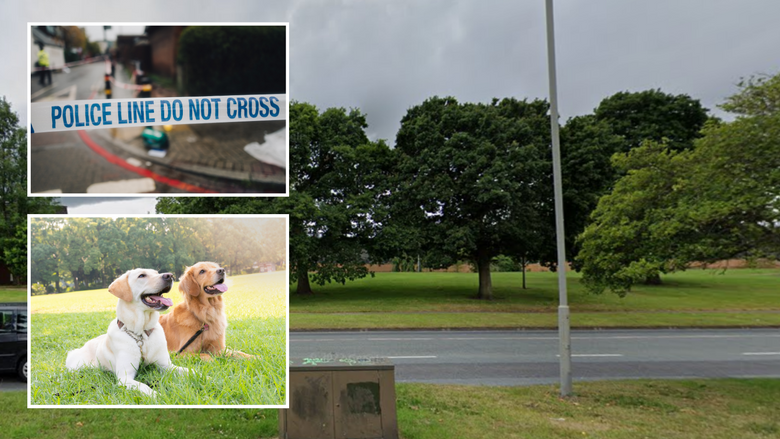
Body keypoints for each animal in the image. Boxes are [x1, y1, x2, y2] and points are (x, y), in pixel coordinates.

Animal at [66, 268, 189, 398]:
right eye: (142, 275)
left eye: (156, 273)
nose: (170, 275)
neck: (141, 335)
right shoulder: (125, 377)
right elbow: (144, 386)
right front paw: (158, 396)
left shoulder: (166, 366)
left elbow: (188, 371)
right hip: (77, 365)